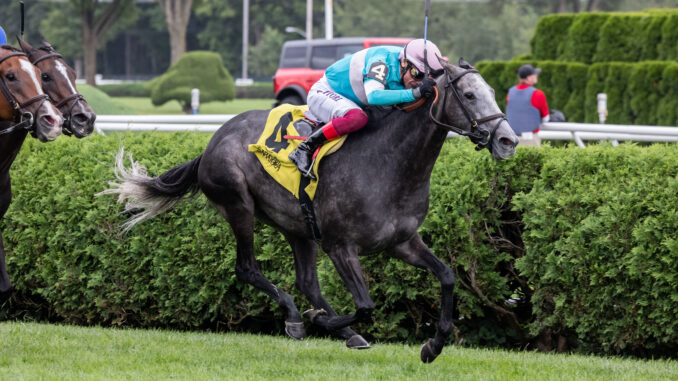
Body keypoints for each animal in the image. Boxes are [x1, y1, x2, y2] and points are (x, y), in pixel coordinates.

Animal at [101, 58, 516, 360]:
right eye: (469, 95)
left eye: (493, 92)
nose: (508, 140)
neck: (388, 163)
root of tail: (212, 141)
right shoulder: (340, 245)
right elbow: (365, 304)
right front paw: (321, 322)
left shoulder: (402, 241)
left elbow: (446, 276)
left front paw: (433, 345)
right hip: (239, 206)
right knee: (248, 268)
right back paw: (299, 318)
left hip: (297, 226)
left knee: (306, 282)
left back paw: (338, 329)